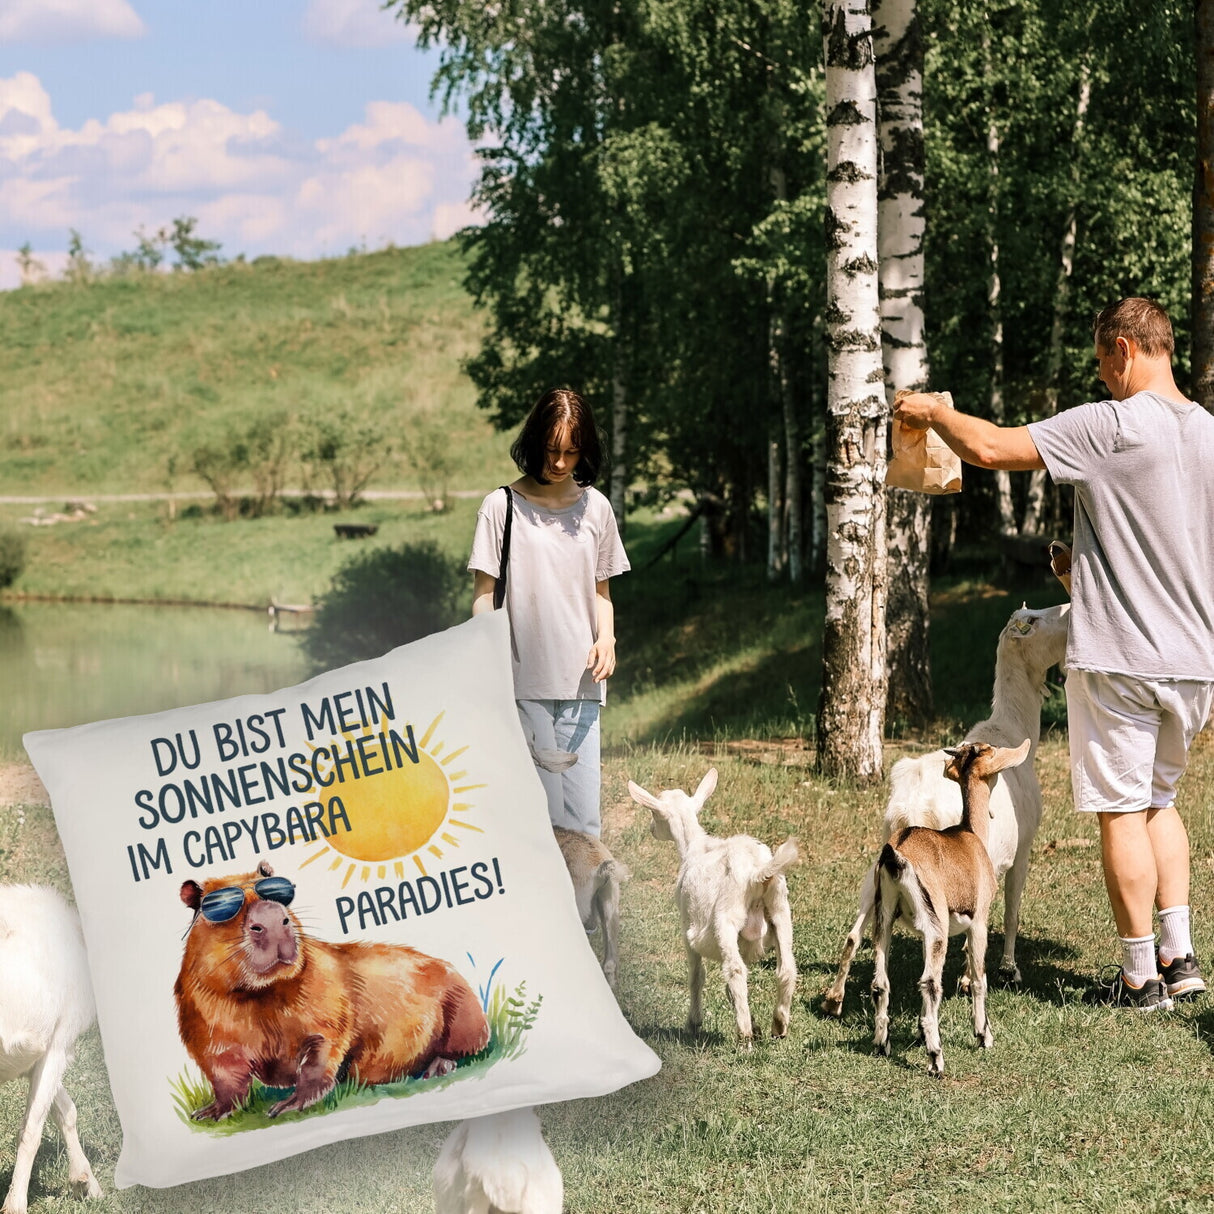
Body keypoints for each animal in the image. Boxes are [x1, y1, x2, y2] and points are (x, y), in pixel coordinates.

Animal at [0, 883, 100, 1214]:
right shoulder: (59, 1043)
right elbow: (31, 1130)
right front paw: (15, 1204)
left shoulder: (38, 1055)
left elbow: (65, 1110)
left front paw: (85, 1182)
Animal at [820, 599, 1068, 1014]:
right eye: (1033, 619)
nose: (1068, 606)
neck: (1012, 730)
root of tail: (912, 804)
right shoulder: (1021, 850)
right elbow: (1011, 911)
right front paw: (1004, 971)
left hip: (877, 868)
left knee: (856, 931)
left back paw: (834, 998)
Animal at [869, 733, 1029, 1078]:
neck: (969, 835)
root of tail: (896, 854)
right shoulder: (979, 920)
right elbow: (979, 978)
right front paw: (984, 1035)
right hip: (937, 925)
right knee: (930, 982)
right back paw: (936, 1059)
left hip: (884, 918)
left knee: (880, 982)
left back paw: (881, 1044)